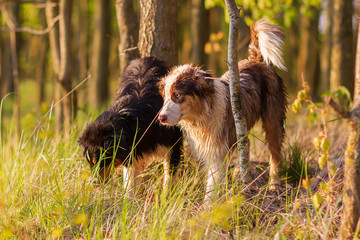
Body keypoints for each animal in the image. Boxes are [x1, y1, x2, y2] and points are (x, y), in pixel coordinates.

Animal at [77, 57, 181, 194]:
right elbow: (130, 182)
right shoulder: (132, 153)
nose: (93, 185)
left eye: (101, 162)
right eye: (90, 163)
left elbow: (169, 176)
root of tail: (145, 58)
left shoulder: (172, 144)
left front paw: (167, 197)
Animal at [158, 19, 286, 202]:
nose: (160, 117)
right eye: (166, 95)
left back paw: (274, 184)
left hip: (273, 120)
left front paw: (207, 206)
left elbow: (212, 184)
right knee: (246, 146)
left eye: (177, 95)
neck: (204, 113)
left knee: (275, 154)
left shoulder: (217, 150)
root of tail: (256, 60)